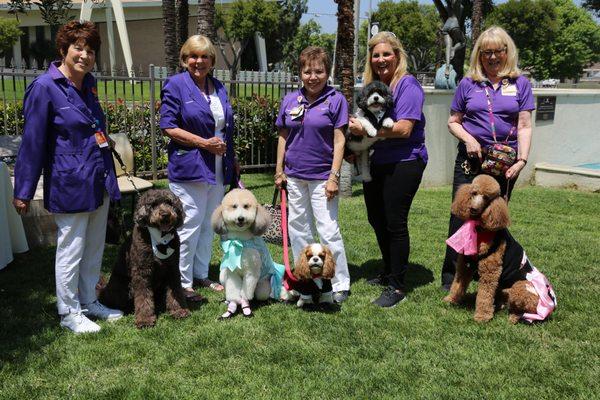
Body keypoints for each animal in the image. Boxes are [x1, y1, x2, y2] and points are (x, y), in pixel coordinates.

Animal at [99, 190, 190, 328]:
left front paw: (179, 310)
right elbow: (143, 296)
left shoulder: (172, 268)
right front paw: (145, 319)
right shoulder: (142, 271)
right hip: (123, 287)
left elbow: (176, 290)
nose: (165, 214)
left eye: (169, 202)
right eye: (153, 204)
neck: (160, 239)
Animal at [212, 189, 284, 320]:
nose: (241, 218)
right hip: (222, 275)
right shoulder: (232, 273)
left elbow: (245, 295)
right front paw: (230, 310)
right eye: (234, 206)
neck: (240, 242)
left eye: (246, 206)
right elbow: (234, 293)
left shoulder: (251, 272)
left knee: (259, 294)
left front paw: (246, 309)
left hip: (263, 288)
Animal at [442, 175, 556, 324]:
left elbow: (484, 296)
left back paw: (514, 317)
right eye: (474, 193)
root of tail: (552, 304)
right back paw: (500, 306)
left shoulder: (490, 272)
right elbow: (456, 285)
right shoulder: (464, 266)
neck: (480, 229)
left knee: (529, 312)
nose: (473, 209)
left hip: (520, 287)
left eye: (486, 198)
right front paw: (451, 300)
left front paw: (482, 317)